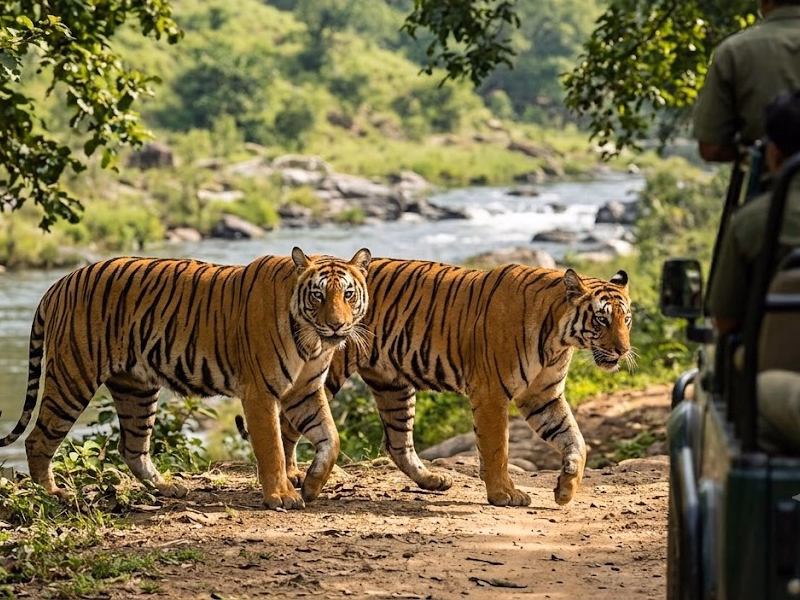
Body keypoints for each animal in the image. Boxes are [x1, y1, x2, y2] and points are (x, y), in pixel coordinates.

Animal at [0, 247, 372, 510]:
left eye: (348, 294)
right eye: (318, 295)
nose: (337, 325)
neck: (313, 342)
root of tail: (59, 282)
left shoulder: (305, 390)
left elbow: (331, 439)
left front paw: (311, 485)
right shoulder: (260, 394)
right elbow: (273, 448)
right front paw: (281, 496)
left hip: (136, 389)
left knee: (131, 446)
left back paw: (167, 488)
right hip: (72, 378)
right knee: (38, 440)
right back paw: (52, 494)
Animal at [275, 259, 632, 507]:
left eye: (625, 319)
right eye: (601, 319)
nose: (623, 350)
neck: (559, 337)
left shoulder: (542, 396)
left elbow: (576, 441)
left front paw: (565, 490)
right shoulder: (491, 393)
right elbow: (497, 448)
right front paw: (504, 494)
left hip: (394, 386)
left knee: (397, 443)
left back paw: (433, 481)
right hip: (320, 376)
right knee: (287, 421)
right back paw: (294, 477)